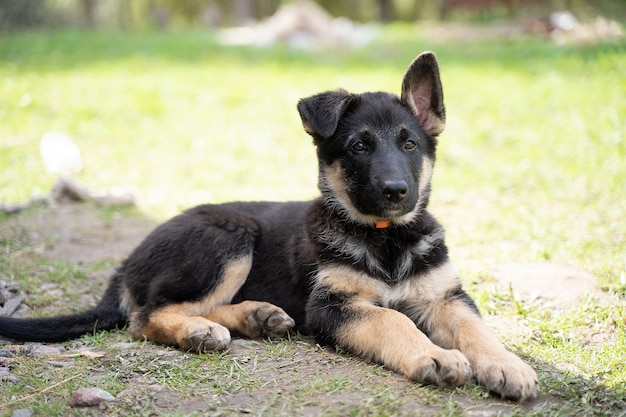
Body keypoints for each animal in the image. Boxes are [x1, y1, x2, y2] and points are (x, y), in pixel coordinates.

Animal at [0, 52, 536, 400]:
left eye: (409, 144)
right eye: (359, 147)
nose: (396, 191)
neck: (386, 237)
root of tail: (129, 261)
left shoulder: (447, 296)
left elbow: (479, 330)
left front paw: (508, 365)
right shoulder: (332, 306)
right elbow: (393, 319)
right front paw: (438, 357)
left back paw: (257, 317)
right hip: (229, 238)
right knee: (147, 315)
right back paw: (200, 332)